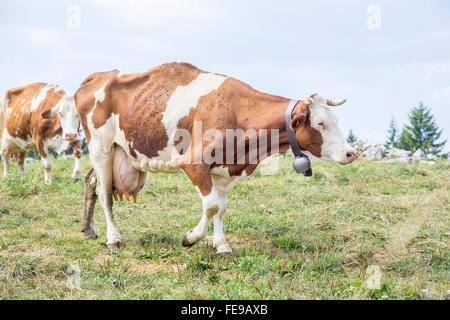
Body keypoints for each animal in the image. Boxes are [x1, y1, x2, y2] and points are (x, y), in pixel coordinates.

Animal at [74, 62, 356, 252]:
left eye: (335, 120)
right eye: (320, 123)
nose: (351, 152)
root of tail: (100, 75)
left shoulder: (225, 171)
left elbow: (220, 208)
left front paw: (221, 245)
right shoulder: (193, 162)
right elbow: (210, 206)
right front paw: (190, 238)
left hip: (117, 151)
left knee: (91, 182)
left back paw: (89, 229)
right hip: (100, 147)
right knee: (104, 193)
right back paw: (113, 237)